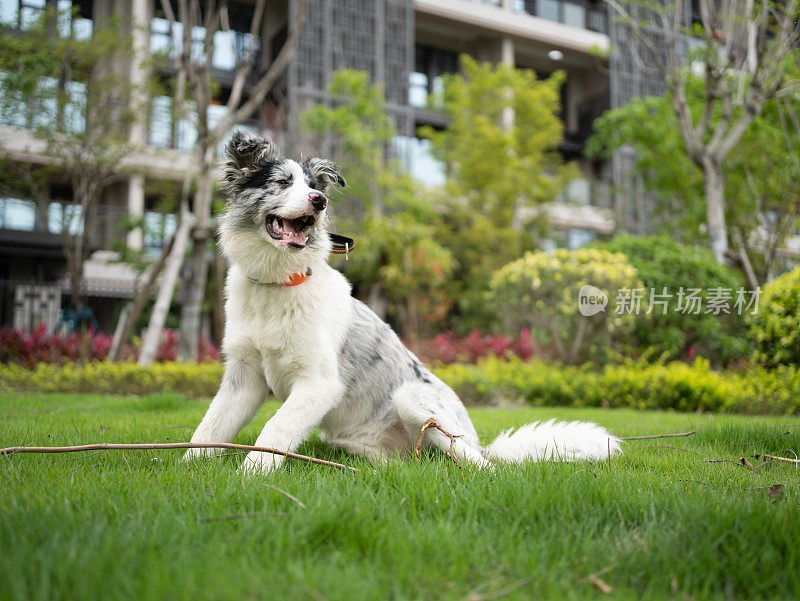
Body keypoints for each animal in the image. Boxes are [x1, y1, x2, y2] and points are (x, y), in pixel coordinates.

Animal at [184, 132, 620, 474]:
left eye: (312, 185)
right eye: (281, 182)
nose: (320, 199)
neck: (279, 283)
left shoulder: (318, 383)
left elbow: (275, 428)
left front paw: (250, 473)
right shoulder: (243, 377)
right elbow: (209, 428)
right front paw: (186, 468)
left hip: (413, 399)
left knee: (483, 466)